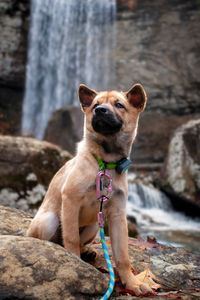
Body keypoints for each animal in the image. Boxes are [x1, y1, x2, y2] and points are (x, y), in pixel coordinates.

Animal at [27, 84, 152, 296]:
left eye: (119, 105)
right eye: (95, 104)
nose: (100, 111)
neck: (105, 163)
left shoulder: (117, 214)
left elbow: (123, 256)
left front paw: (132, 282)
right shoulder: (70, 200)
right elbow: (70, 238)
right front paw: (75, 263)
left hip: (94, 225)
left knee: (80, 241)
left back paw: (87, 250)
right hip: (49, 220)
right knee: (56, 240)